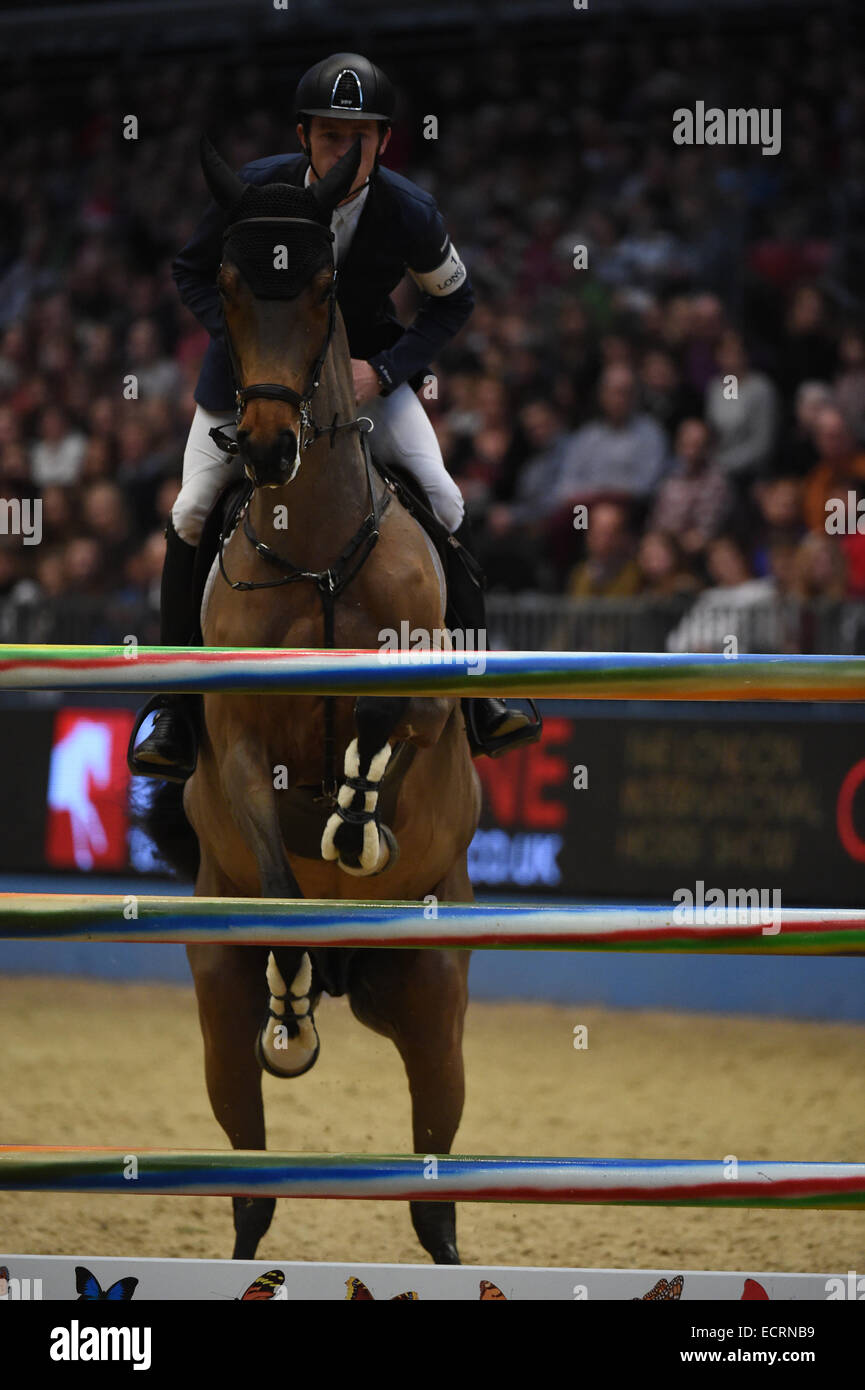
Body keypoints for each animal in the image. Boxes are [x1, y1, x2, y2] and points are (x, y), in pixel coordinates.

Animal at [178, 135, 481, 1267]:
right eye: (227, 284)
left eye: (317, 290)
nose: (264, 448)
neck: (312, 547)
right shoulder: (233, 741)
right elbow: (275, 868)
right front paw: (292, 980)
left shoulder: (430, 703)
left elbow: (390, 722)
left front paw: (355, 824)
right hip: (217, 1000)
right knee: (251, 1181)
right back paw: (295, 1007)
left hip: (431, 998)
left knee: (435, 1188)